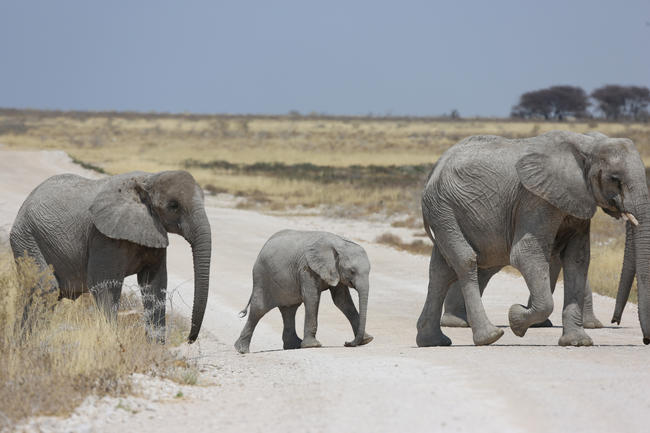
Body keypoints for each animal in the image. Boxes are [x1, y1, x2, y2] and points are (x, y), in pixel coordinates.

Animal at [9, 169, 213, 340]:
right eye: (173, 206)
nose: (189, 339)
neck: (148, 179)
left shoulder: (154, 230)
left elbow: (155, 283)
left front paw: (156, 348)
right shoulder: (103, 236)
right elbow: (103, 283)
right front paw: (112, 341)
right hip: (26, 237)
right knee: (46, 289)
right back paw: (26, 343)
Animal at [235, 228, 372, 352]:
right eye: (352, 271)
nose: (347, 343)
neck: (339, 243)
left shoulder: (334, 270)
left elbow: (342, 301)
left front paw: (367, 340)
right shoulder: (306, 268)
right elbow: (312, 297)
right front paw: (313, 346)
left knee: (289, 310)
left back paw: (293, 346)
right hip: (262, 276)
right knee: (258, 309)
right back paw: (242, 350)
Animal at [416, 130, 648, 346]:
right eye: (615, 179)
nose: (615, 321)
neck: (587, 144)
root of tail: (435, 168)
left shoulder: (577, 201)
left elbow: (578, 260)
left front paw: (578, 342)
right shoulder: (535, 198)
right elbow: (525, 254)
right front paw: (516, 319)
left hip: (444, 212)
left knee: (441, 270)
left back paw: (433, 341)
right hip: (443, 208)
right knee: (466, 261)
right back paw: (489, 336)